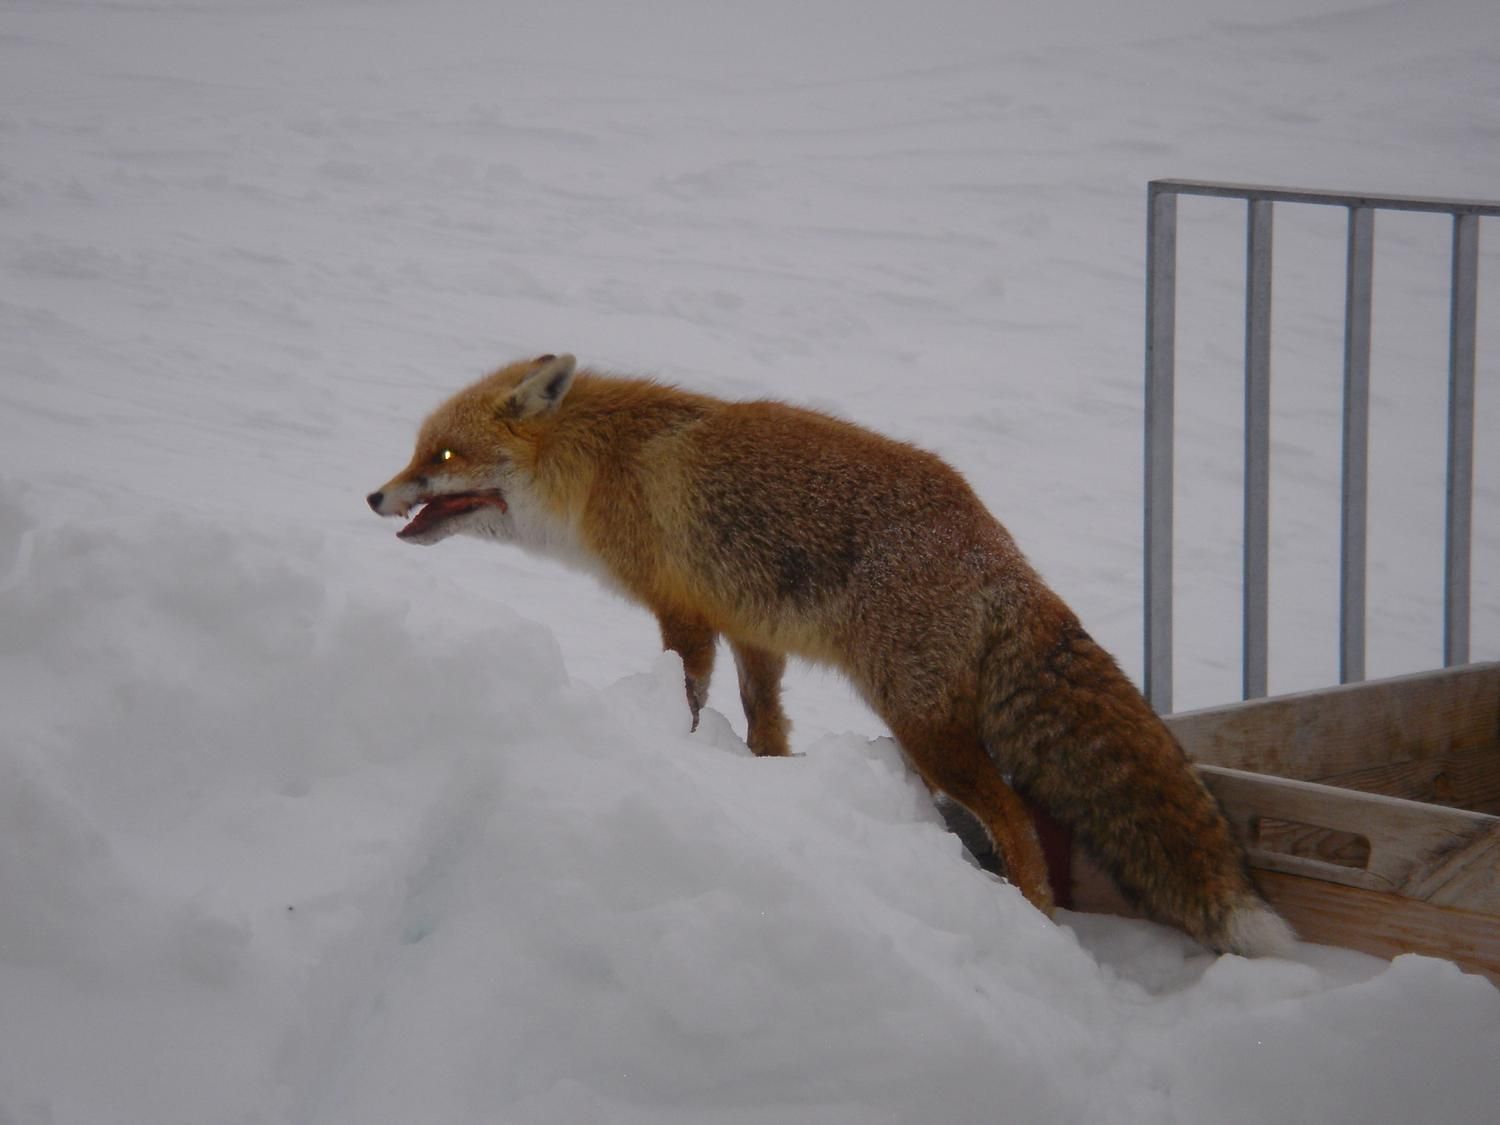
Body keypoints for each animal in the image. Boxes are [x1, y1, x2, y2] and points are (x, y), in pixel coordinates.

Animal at [372, 357, 1290, 954]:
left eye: (442, 458)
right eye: (418, 452)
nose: (374, 495)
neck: (601, 463)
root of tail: (997, 549)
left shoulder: (682, 614)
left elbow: (690, 696)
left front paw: (682, 742)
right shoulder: (752, 628)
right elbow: (764, 723)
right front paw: (767, 778)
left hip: (925, 729)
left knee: (1017, 820)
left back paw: (1035, 919)